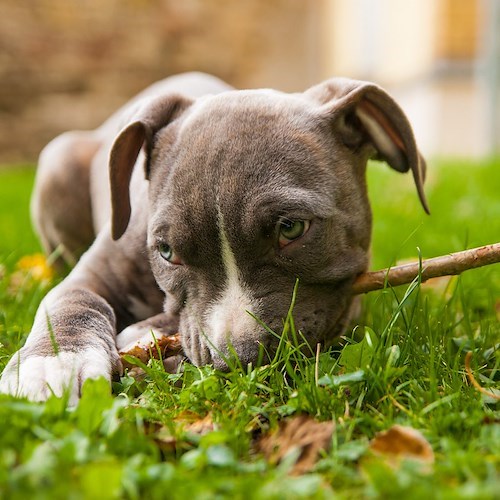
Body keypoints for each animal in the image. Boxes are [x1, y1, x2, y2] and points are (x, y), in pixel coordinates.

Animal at [0, 72, 430, 404]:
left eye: (291, 228)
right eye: (166, 252)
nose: (236, 360)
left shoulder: (347, 301)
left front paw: (150, 336)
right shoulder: (95, 272)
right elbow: (69, 300)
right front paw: (52, 363)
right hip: (57, 160)